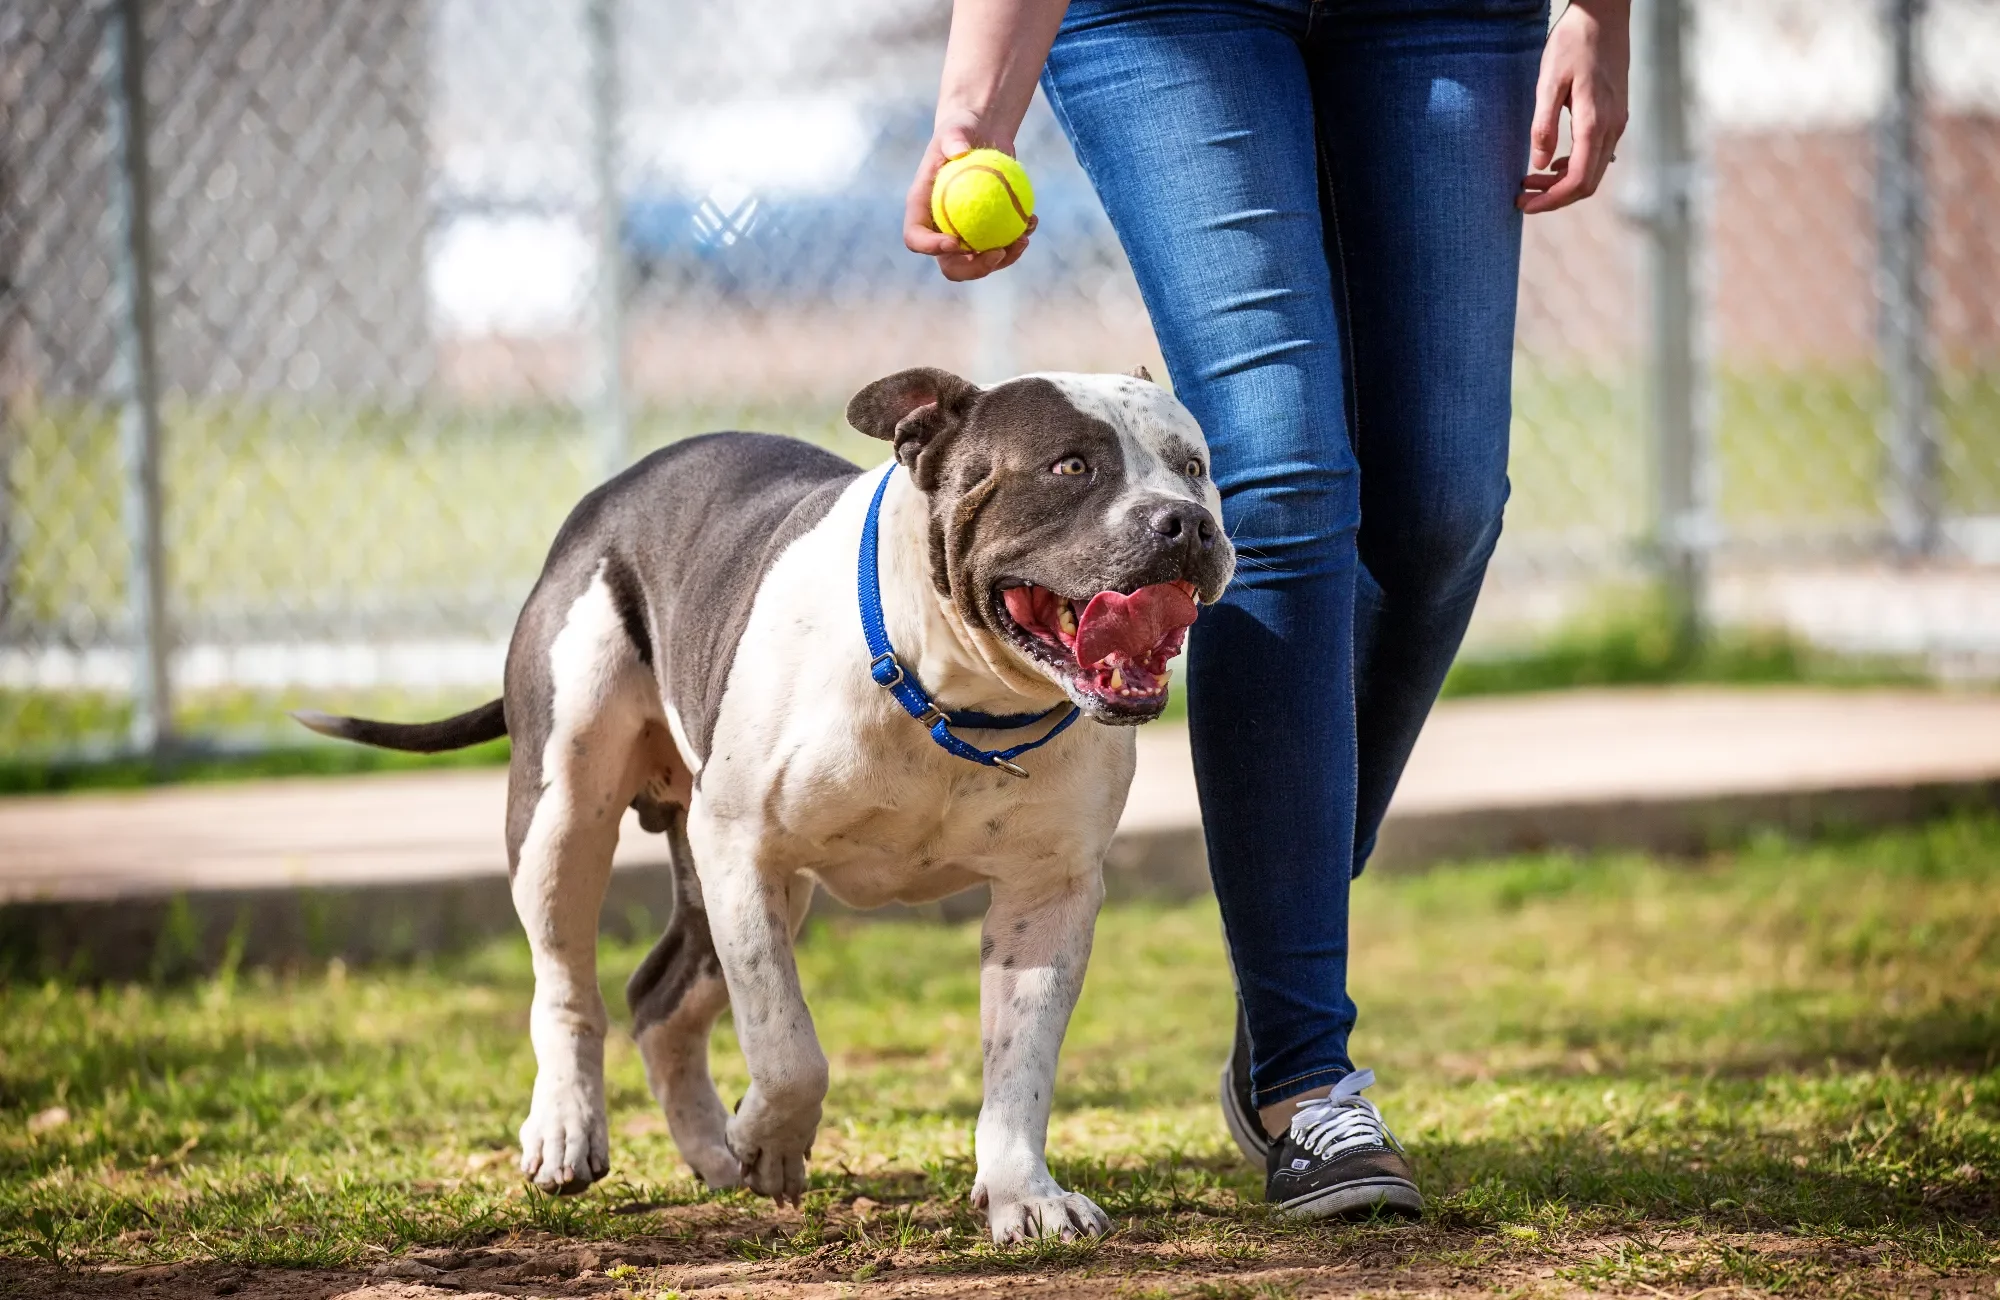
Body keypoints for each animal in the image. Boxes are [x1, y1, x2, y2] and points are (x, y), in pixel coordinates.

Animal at [296, 362, 1232, 1232]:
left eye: (1194, 467)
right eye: (1071, 466)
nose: (1187, 520)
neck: (956, 700)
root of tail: (614, 493)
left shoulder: (1048, 895)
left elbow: (1021, 1066)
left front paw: (1024, 1197)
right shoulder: (744, 852)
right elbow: (788, 1048)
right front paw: (772, 1139)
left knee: (660, 999)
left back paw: (711, 1150)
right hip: (565, 813)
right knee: (567, 981)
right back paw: (570, 1129)